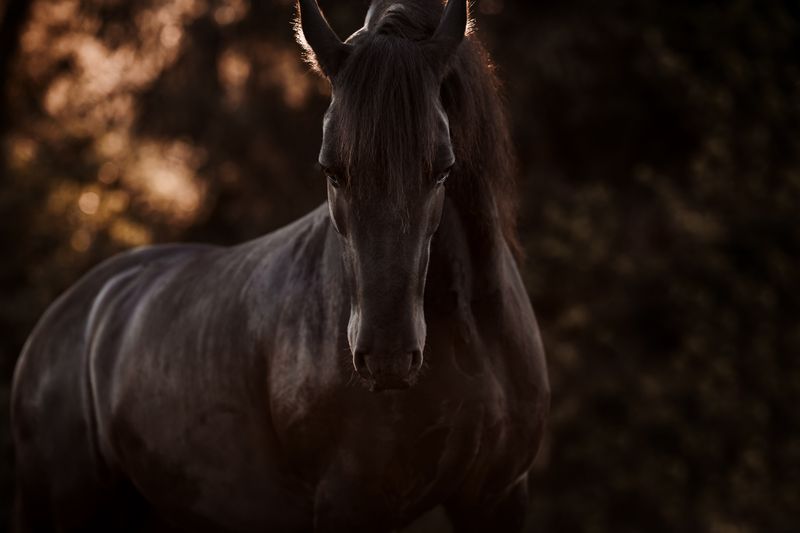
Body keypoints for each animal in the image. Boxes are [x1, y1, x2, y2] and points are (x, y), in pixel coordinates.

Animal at [10, 2, 552, 528]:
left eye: (443, 168)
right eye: (331, 169)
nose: (388, 358)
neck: (468, 330)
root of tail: (68, 314)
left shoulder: (498, 496)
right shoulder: (348, 504)